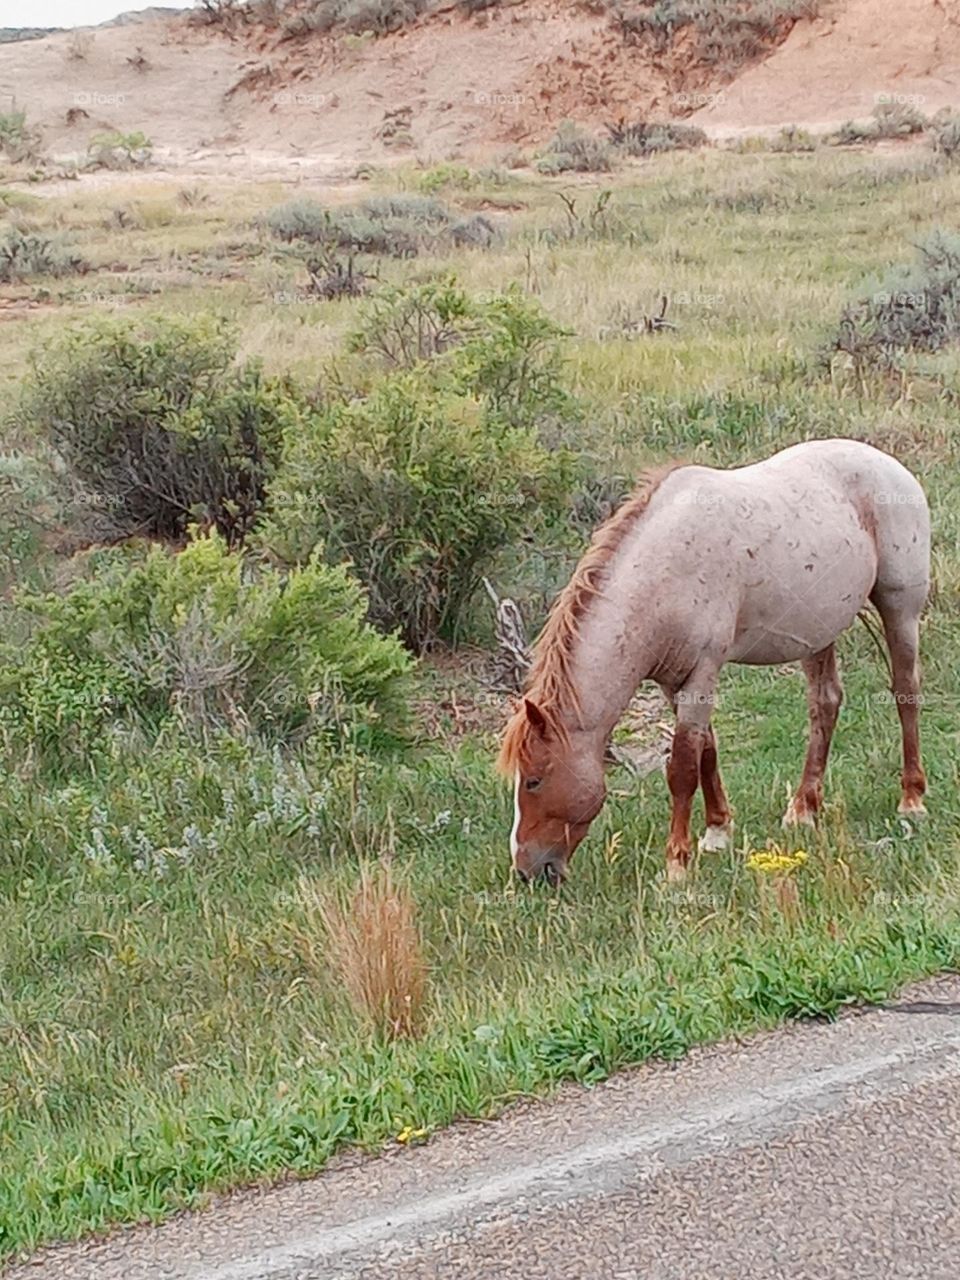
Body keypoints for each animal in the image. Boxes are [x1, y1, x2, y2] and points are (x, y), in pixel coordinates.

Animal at [499, 439, 930, 884]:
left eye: (533, 781)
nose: (526, 871)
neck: (665, 571)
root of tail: (888, 465)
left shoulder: (703, 671)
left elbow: (683, 767)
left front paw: (677, 862)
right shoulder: (674, 681)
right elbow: (707, 750)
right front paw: (717, 832)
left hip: (900, 608)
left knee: (905, 692)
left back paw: (912, 798)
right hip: (817, 632)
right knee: (825, 704)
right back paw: (803, 808)